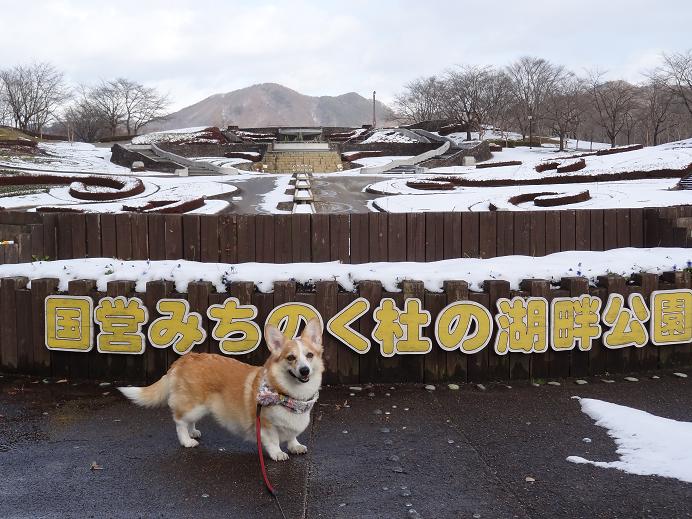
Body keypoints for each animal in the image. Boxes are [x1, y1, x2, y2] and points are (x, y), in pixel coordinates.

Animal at [118, 318, 324, 462]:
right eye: (290, 358)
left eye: (309, 355)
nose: (304, 370)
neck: (290, 397)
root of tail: (183, 359)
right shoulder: (266, 425)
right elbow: (273, 441)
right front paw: (278, 453)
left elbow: (292, 436)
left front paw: (295, 446)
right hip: (193, 405)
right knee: (179, 421)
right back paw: (187, 441)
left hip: (199, 407)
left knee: (188, 421)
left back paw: (193, 432)